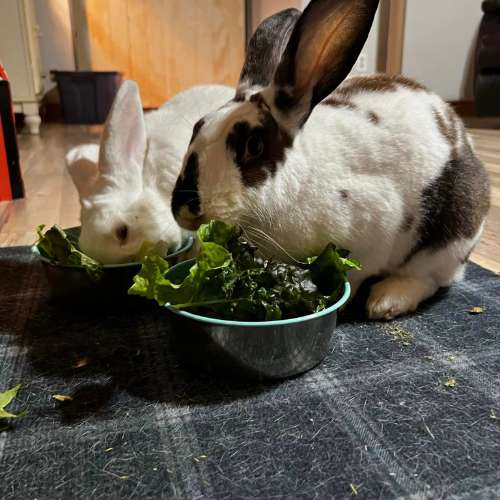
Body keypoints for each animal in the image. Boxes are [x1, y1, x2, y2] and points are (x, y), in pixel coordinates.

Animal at [171, 0, 488, 318]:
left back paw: (386, 302)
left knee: (429, 277)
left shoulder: (374, 229)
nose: (183, 208)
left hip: (446, 241)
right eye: (198, 126)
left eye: (254, 146)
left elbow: (354, 273)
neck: (299, 183)